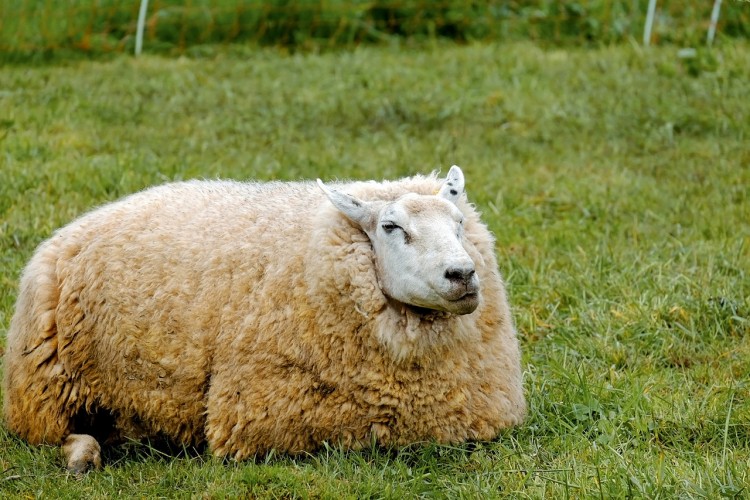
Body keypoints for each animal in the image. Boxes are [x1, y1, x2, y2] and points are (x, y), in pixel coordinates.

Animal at [3, 166, 526, 472]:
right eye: (391, 227)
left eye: (459, 223)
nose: (462, 274)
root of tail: (68, 231)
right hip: (44, 389)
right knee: (54, 433)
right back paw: (82, 456)